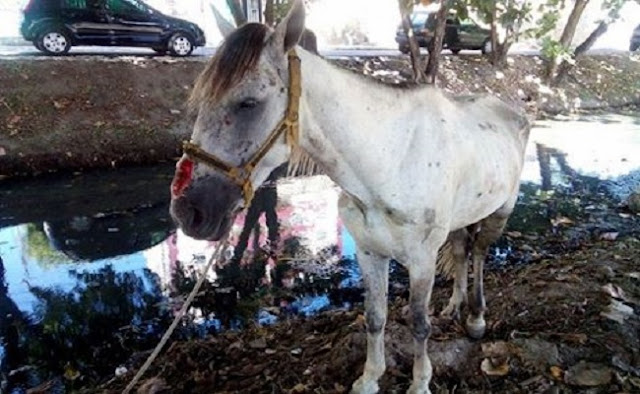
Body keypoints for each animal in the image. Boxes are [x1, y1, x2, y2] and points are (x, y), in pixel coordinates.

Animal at [169, 1, 528, 392]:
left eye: (248, 103)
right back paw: (455, 307)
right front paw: (369, 378)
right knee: (462, 250)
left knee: (478, 253)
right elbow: (374, 316)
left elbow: (420, 324)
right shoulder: (370, 252)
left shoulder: (421, 260)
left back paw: (475, 317)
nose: (188, 211)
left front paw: (420, 382)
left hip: (500, 211)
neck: (390, 159)